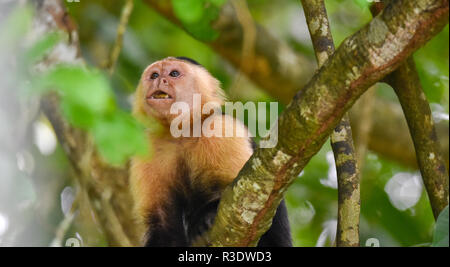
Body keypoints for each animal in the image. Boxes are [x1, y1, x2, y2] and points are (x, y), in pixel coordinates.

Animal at [130, 56, 292, 247]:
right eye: (154, 75)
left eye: (174, 74)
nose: (159, 79)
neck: (181, 133)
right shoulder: (147, 148)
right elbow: (162, 222)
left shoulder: (222, 128)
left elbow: (240, 198)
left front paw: (205, 216)